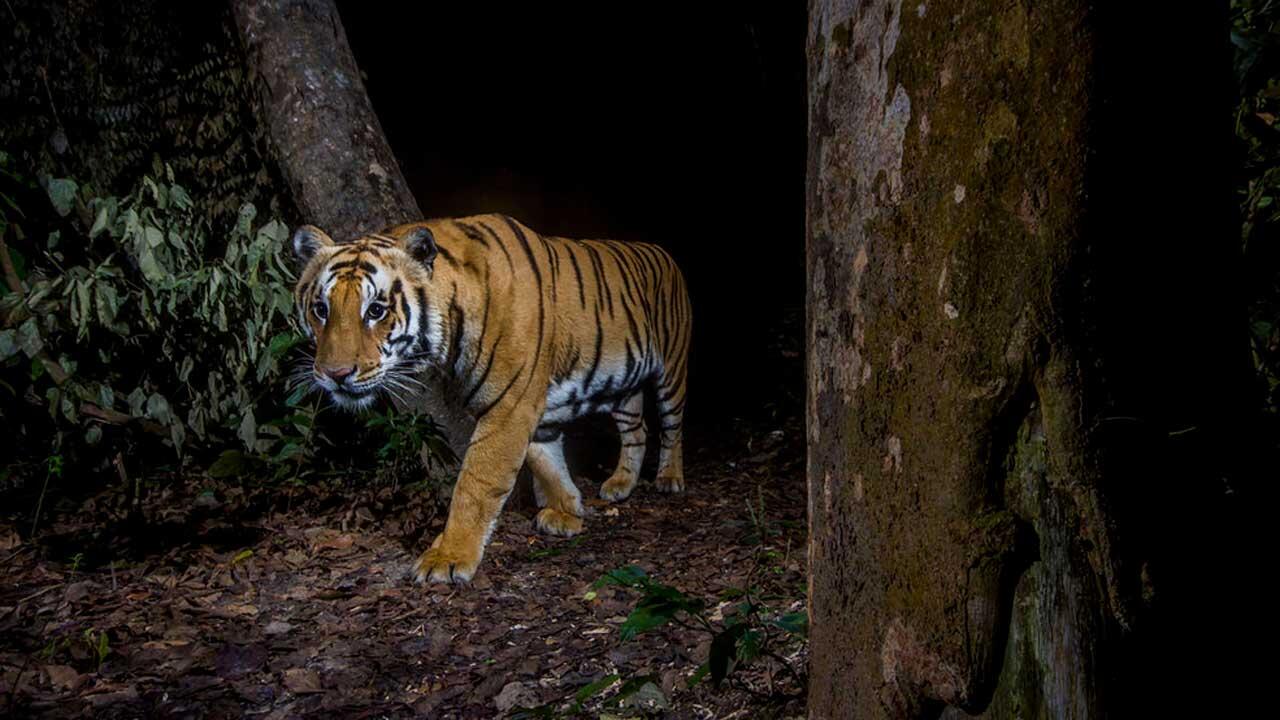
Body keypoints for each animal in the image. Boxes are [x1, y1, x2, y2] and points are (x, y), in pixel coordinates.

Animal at [293, 212, 691, 584]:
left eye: (375, 310)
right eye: (321, 309)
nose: (335, 374)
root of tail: (664, 252)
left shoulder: (510, 406)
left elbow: (477, 483)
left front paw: (448, 558)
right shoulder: (531, 407)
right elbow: (546, 460)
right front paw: (567, 510)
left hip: (672, 367)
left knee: (672, 426)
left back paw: (669, 479)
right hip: (624, 386)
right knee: (637, 431)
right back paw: (620, 484)